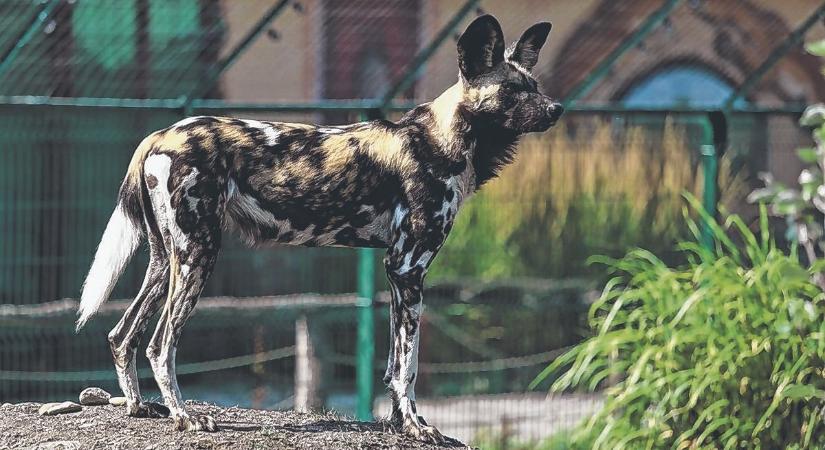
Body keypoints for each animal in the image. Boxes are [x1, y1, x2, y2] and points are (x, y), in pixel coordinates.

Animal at [75, 14, 560, 442]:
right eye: (512, 91)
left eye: (535, 86)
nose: (556, 109)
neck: (445, 140)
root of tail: (159, 134)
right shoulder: (408, 268)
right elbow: (409, 367)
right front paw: (416, 428)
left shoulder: (397, 274)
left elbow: (391, 365)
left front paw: (398, 425)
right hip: (198, 255)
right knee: (160, 343)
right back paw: (185, 417)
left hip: (165, 259)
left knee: (123, 334)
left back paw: (140, 407)